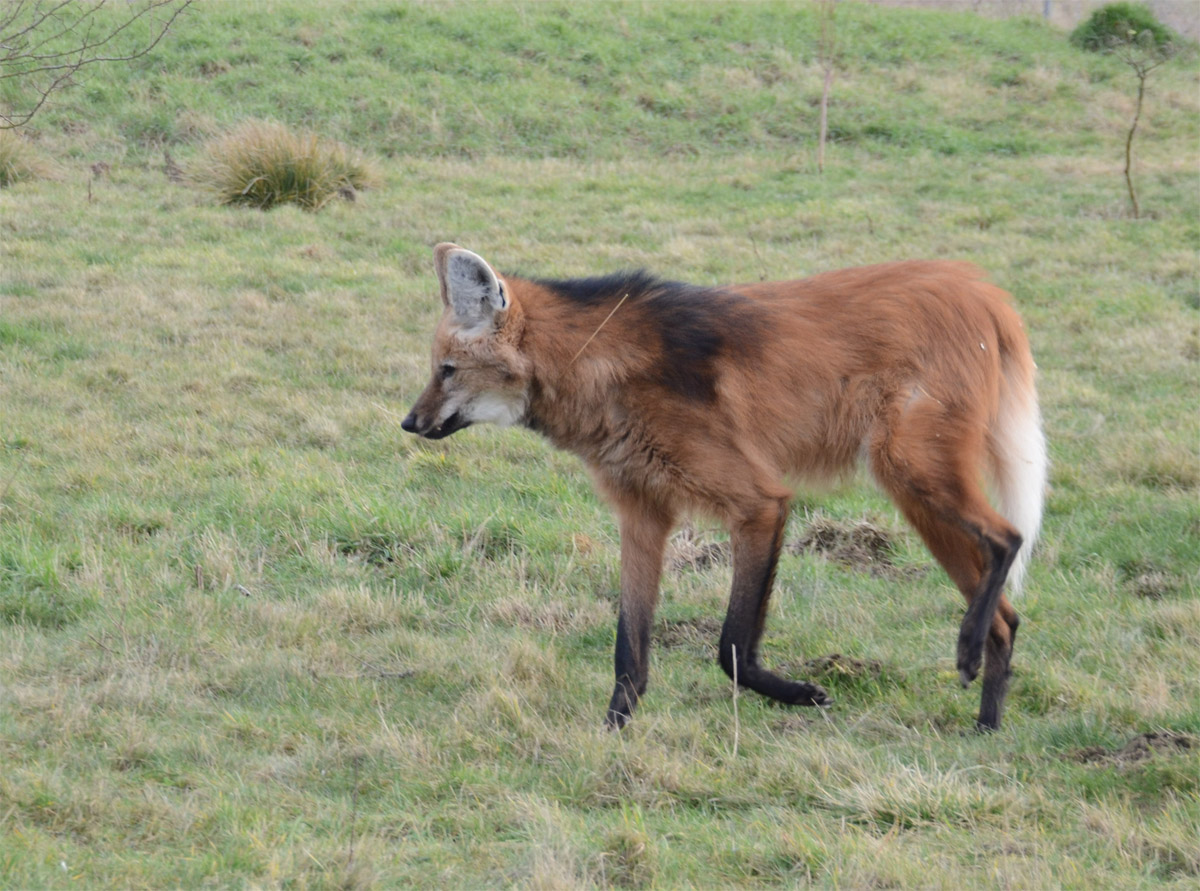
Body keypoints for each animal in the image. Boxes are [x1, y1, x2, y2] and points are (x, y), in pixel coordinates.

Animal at [402, 243, 1047, 731]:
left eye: (446, 371)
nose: (408, 423)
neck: (598, 365)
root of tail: (984, 289)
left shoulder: (759, 503)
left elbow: (731, 647)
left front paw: (804, 693)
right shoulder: (642, 513)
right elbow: (628, 647)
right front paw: (611, 734)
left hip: (909, 467)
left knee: (1009, 538)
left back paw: (968, 658)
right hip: (919, 497)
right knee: (1007, 614)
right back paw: (985, 727)